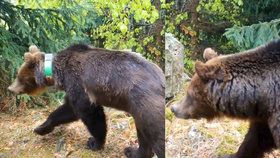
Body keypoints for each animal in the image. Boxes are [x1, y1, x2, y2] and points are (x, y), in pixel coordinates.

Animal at [8, 43, 165, 158]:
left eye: (19, 77)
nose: (10, 89)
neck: (58, 74)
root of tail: (162, 81)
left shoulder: (77, 82)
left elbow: (89, 113)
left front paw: (94, 142)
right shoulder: (72, 88)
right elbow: (67, 110)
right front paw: (40, 128)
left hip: (145, 103)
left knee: (156, 135)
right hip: (138, 109)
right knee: (143, 133)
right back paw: (133, 151)